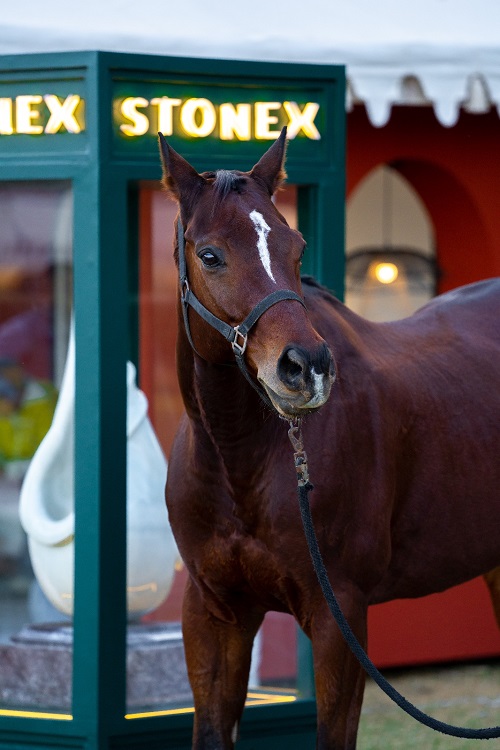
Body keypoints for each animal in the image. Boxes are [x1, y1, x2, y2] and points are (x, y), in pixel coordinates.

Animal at [159, 131, 500, 750]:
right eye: (210, 254)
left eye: (295, 248)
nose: (307, 367)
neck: (241, 461)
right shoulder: (213, 615)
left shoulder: (339, 617)